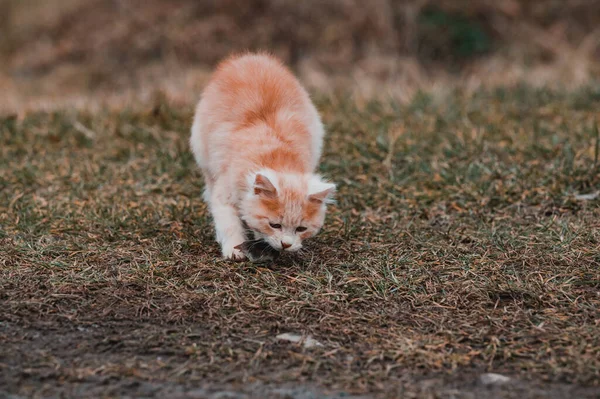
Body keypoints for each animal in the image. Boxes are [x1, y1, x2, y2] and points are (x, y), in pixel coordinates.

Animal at [190, 51, 336, 260]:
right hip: (205, 157)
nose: (286, 244)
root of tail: (249, 57)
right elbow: (229, 223)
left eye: (301, 229)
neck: (276, 157)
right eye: (275, 225)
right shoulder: (224, 193)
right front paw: (234, 249)